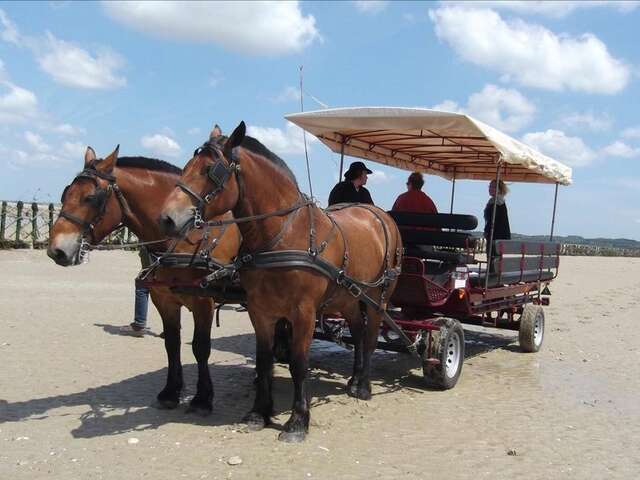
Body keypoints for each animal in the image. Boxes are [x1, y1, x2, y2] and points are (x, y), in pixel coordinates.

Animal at [48, 146, 241, 416]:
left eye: (90, 198)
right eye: (66, 193)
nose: (56, 250)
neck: (186, 236)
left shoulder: (204, 301)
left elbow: (201, 347)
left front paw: (202, 398)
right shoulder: (164, 299)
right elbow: (172, 343)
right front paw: (171, 391)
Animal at [159, 124, 400, 442]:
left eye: (211, 171)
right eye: (186, 167)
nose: (166, 218)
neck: (282, 235)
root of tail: (381, 215)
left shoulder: (303, 313)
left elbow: (299, 364)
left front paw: (298, 421)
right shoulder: (260, 310)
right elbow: (264, 360)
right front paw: (259, 412)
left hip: (377, 296)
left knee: (371, 336)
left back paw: (364, 386)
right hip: (347, 297)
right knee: (359, 334)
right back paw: (355, 378)